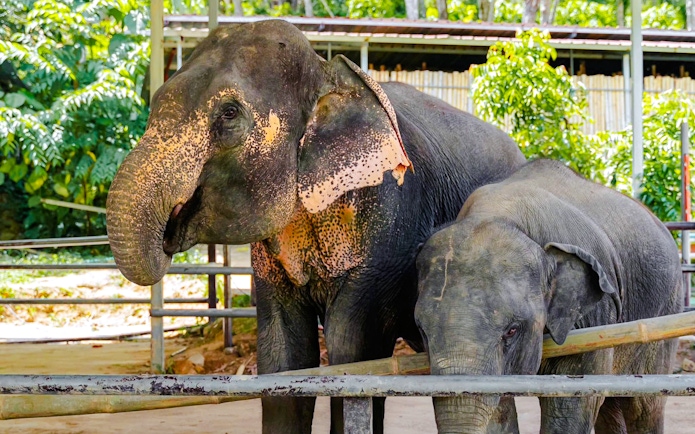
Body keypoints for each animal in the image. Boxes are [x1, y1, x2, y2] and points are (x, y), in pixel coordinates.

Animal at [105, 19, 527, 433]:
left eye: (228, 113)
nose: (168, 230)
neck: (327, 73)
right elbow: (284, 354)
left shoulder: (389, 227)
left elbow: (352, 349)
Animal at [415, 159, 683, 434]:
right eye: (421, 330)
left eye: (512, 330)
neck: (499, 212)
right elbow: (499, 412)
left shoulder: (592, 318)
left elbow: (573, 401)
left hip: (666, 308)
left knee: (644, 407)